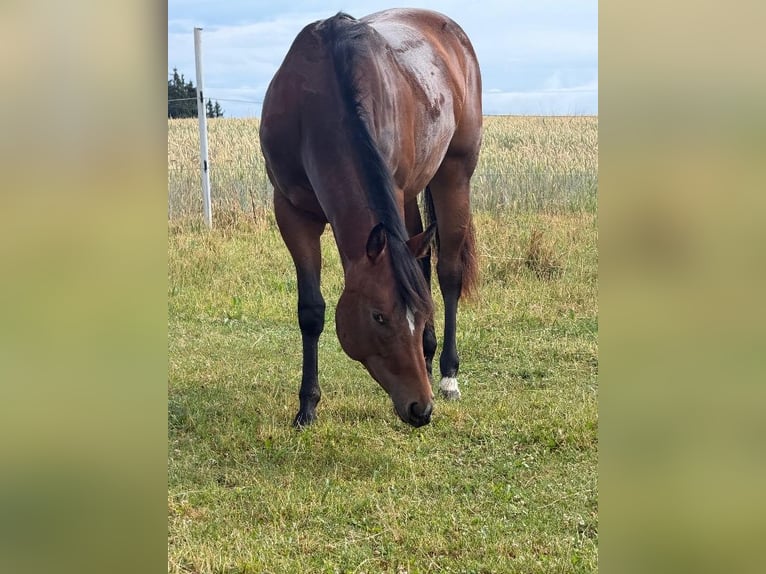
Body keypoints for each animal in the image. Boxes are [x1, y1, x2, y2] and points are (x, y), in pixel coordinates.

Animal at [259, 8, 481, 427]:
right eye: (379, 317)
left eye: (418, 315)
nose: (421, 409)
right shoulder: (292, 212)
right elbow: (311, 310)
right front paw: (307, 407)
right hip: (409, 199)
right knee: (422, 263)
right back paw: (429, 361)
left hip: (454, 175)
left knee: (448, 273)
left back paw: (447, 375)